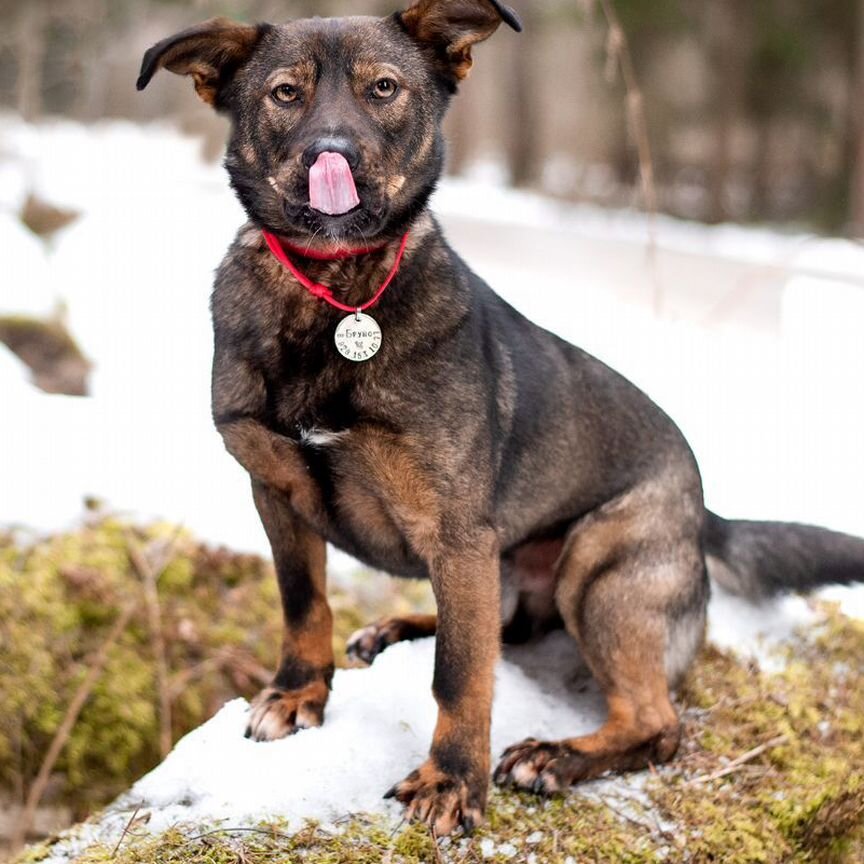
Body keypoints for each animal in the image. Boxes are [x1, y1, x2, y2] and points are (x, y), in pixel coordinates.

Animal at [137, 0, 864, 836]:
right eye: (285, 94)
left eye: (383, 89)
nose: (332, 156)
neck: (336, 293)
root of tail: (703, 514)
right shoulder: (277, 496)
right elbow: (304, 605)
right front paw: (298, 694)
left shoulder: (457, 529)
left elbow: (461, 676)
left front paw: (453, 780)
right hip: (508, 566)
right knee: (499, 630)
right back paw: (400, 628)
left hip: (598, 570)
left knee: (650, 721)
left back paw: (557, 756)